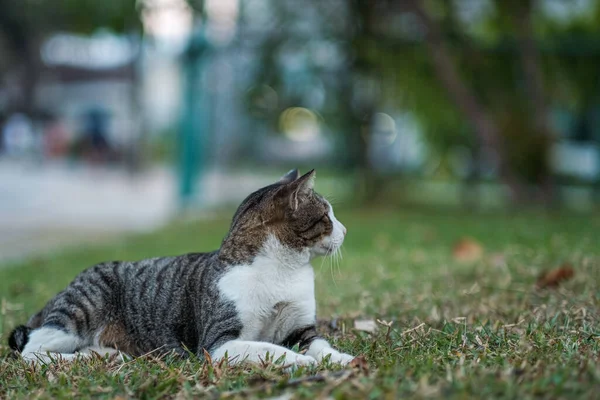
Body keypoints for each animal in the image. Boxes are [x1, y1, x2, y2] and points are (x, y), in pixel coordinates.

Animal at [9, 167, 354, 368]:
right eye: (327, 216)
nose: (346, 230)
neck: (283, 270)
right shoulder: (218, 343)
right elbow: (271, 349)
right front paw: (302, 362)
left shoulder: (301, 328)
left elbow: (321, 345)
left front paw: (343, 359)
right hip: (79, 313)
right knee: (31, 351)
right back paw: (70, 361)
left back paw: (107, 355)